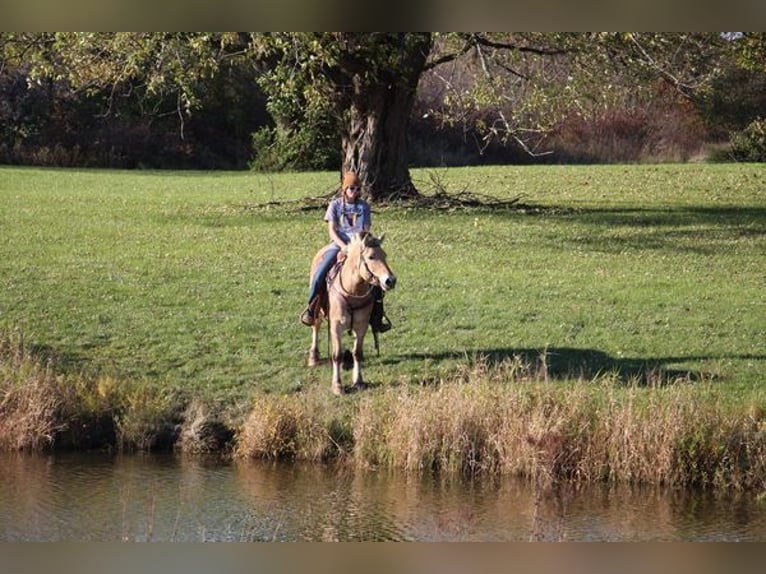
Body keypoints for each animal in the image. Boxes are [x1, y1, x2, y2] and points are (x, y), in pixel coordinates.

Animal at [306, 231, 397, 395]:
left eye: (385, 255)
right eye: (371, 257)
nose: (390, 281)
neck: (352, 291)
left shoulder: (361, 326)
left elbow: (357, 353)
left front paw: (358, 381)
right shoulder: (336, 326)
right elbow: (337, 355)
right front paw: (337, 385)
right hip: (317, 310)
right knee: (316, 326)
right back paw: (313, 357)